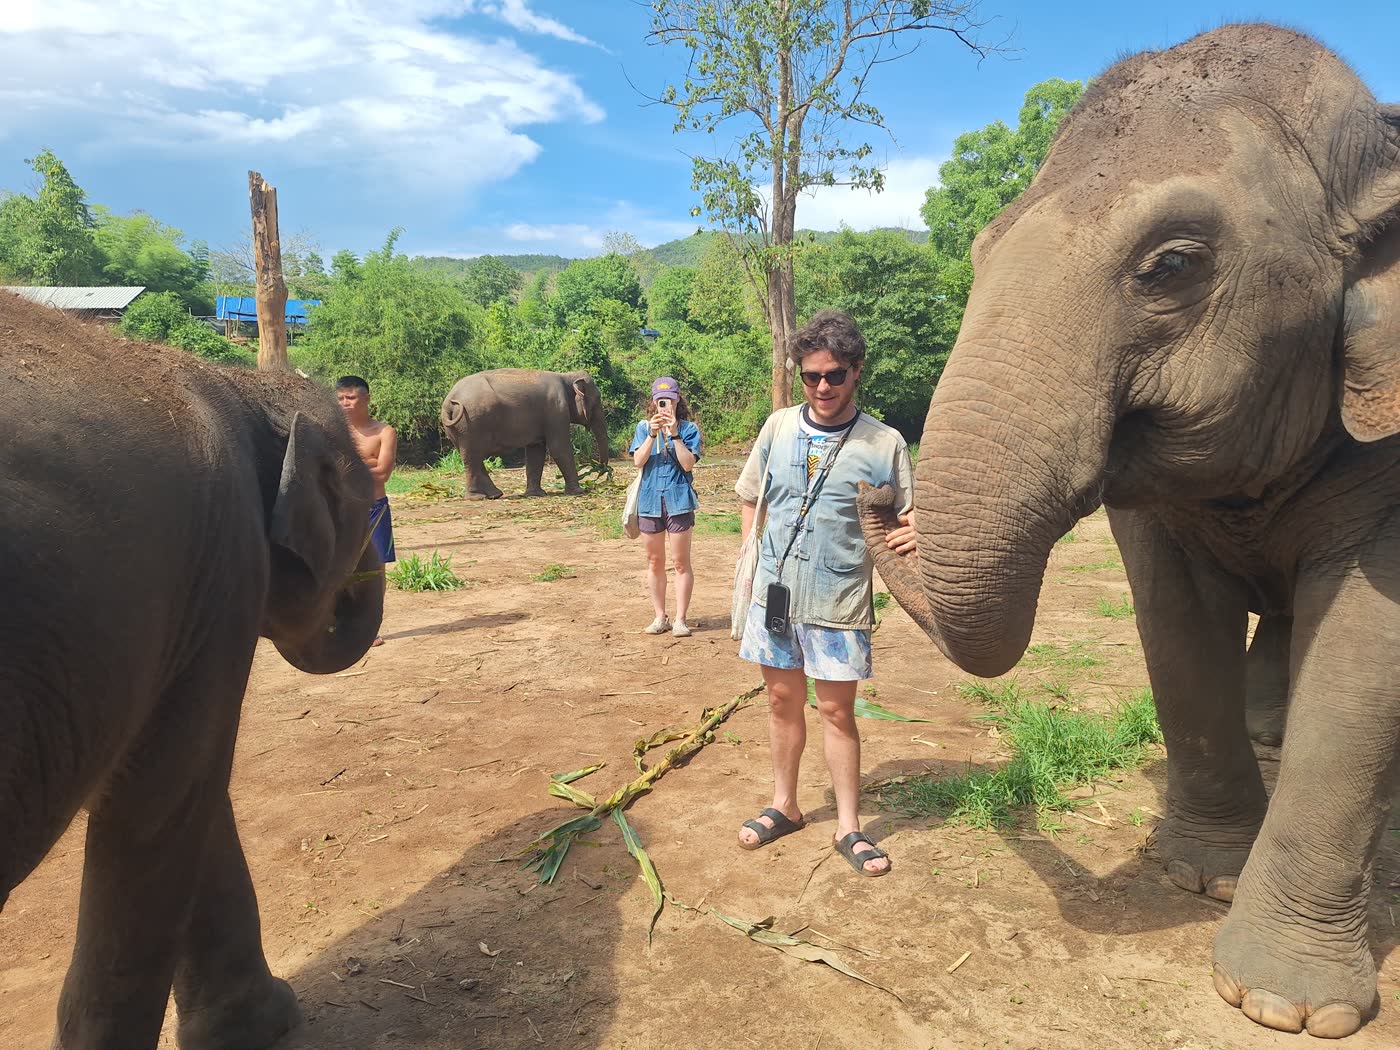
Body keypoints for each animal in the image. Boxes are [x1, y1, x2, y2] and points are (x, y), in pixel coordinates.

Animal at [0, 292, 385, 1049]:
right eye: (361, 508)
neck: (239, 383)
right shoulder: (225, 567)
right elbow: (169, 797)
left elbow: (180, 790)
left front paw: (259, 1026)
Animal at [440, 368, 610, 498]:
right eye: (597, 400)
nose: (602, 468)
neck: (566, 376)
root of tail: (450, 401)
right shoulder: (556, 410)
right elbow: (559, 448)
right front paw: (578, 492)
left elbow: (536, 450)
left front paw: (536, 495)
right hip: (470, 422)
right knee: (473, 456)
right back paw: (477, 497)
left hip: (459, 428)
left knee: (471, 456)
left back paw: (494, 494)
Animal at [859, 24, 1400, 1040]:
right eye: (981, 251)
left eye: (1173, 265)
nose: (878, 499)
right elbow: (1177, 626)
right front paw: (1200, 877)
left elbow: (1364, 648)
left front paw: (1286, 1007)